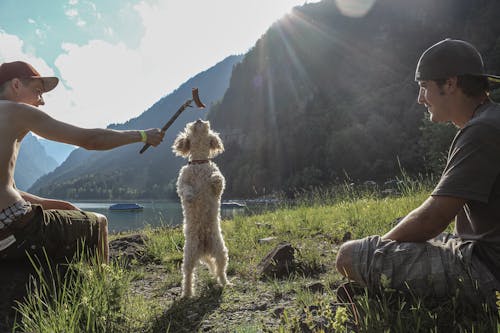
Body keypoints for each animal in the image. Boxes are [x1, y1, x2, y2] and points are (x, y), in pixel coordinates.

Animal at [172, 118, 230, 296]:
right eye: (191, 124)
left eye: (205, 123)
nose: (198, 119)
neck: (199, 162)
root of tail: (204, 249)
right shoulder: (183, 180)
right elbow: (184, 188)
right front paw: (191, 197)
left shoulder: (217, 182)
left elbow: (219, 179)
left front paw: (215, 179)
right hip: (189, 255)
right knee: (188, 275)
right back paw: (187, 293)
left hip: (221, 251)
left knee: (220, 270)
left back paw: (225, 283)